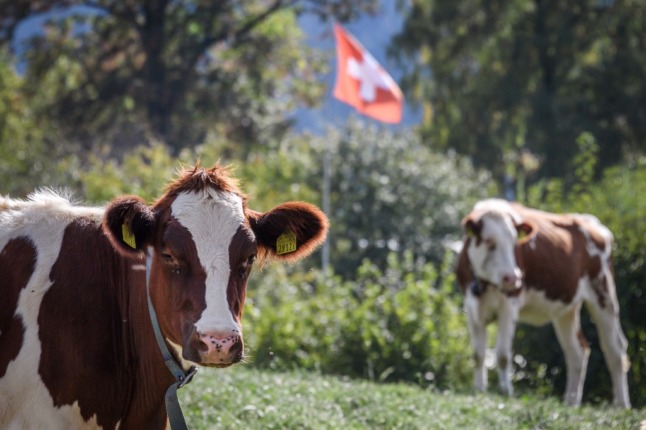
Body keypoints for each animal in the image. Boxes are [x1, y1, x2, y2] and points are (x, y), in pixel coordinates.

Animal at [456, 198, 632, 406]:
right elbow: (478, 354)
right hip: (566, 308)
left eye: (514, 243)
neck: (484, 282)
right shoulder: (471, 306)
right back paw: (571, 402)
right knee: (577, 351)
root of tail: (592, 222)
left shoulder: (509, 305)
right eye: (490, 241)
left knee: (615, 348)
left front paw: (505, 391)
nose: (512, 277)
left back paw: (621, 404)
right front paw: (479, 389)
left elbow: (502, 354)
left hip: (604, 293)